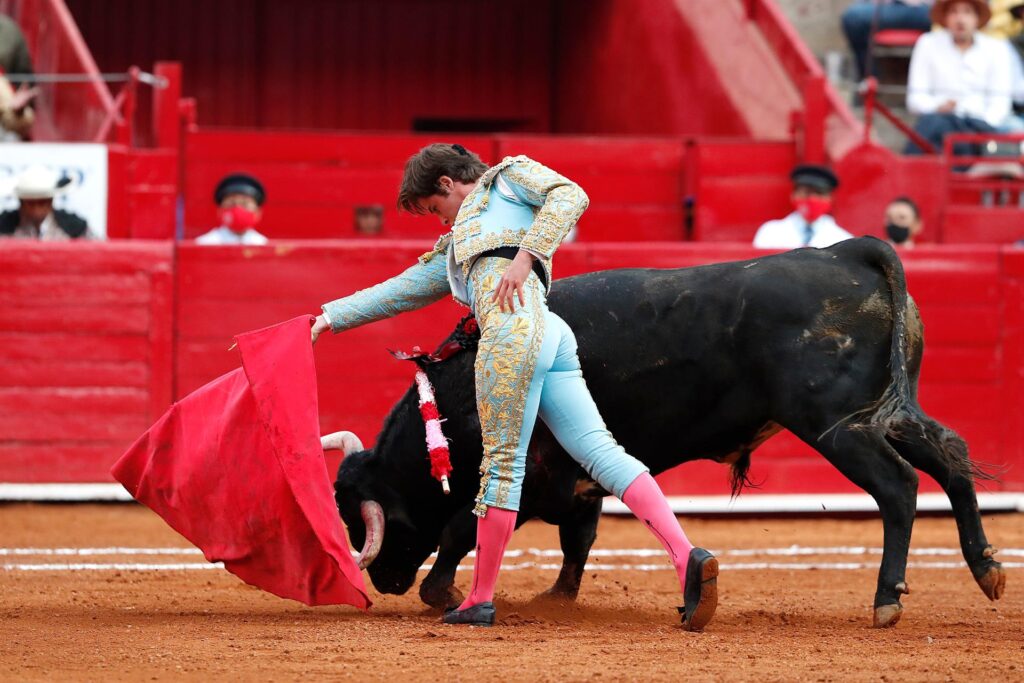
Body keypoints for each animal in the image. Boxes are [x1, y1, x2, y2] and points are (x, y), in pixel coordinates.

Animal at [331, 237, 1003, 626]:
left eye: (367, 518)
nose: (381, 581)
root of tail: (845, 252)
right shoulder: (577, 481)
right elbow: (579, 538)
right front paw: (558, 598)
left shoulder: (527, 469)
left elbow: (464, 528)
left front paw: (442, 593)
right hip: (886, 411)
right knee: (951, 455)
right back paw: (986, 568)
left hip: (835, 424)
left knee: (898, 487)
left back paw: (887, 598)